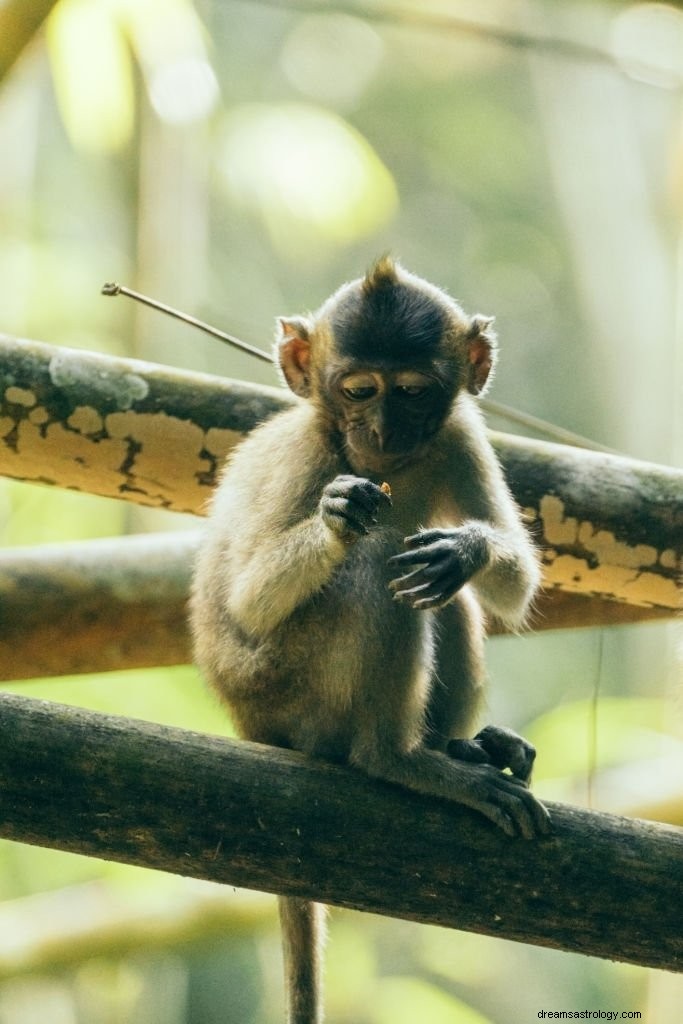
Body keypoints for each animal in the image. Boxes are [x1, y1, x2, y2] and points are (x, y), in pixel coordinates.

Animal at [189, 258, 552, 1024]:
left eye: (412, 392)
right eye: (358, 390)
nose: (382, 429)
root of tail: (247, 721)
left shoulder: (461, 434)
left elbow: (512, 586)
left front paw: (468, 548)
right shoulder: (307, 456)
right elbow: (249, 601)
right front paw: (338, 520)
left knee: (441, 592)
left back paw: (458, 745)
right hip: (291, 689)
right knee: (379, 559)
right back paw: (396, 758)